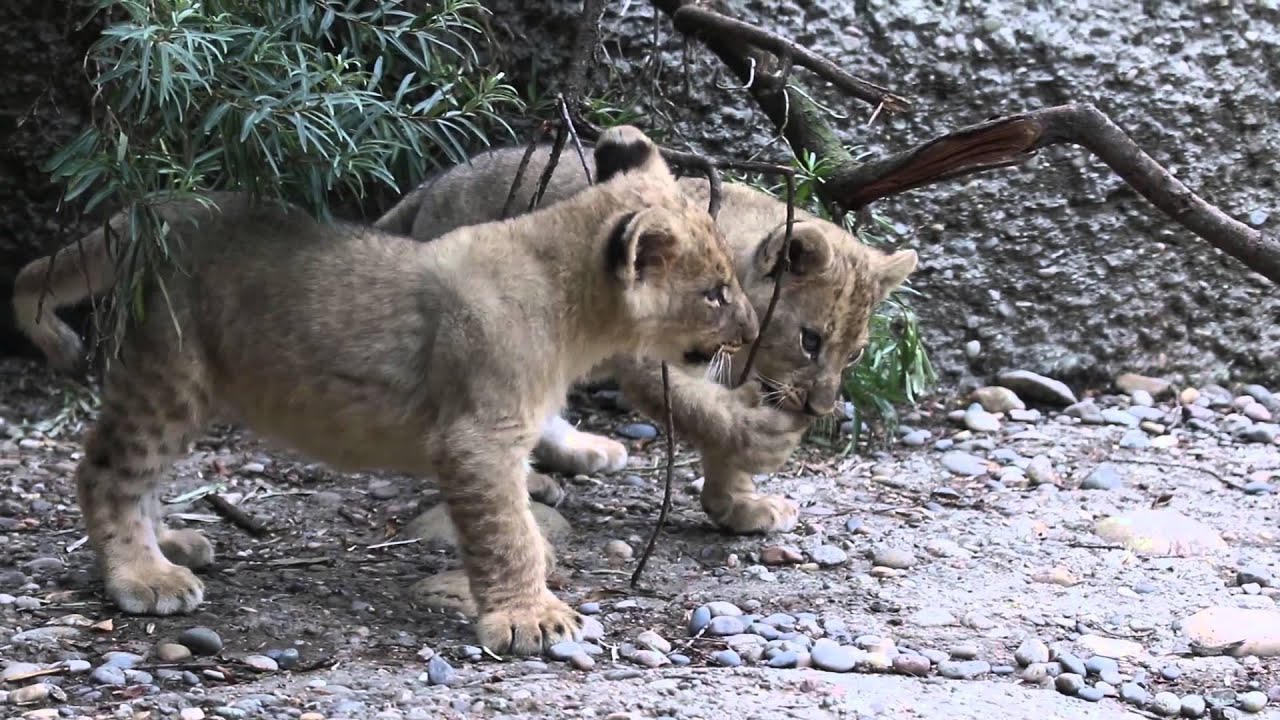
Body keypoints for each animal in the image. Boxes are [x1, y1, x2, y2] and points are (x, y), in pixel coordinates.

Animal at [11, 126, 759, 655]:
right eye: (716, 292)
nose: (751, 331)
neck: (569, 305)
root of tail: (158, 205)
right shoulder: (476, 437)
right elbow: (507, 531)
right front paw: (530, 618)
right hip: (171, 372)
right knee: (107, 472)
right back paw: (144, 576)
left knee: (142, 472)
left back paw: (172, 544)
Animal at [377, 141, 918, 535]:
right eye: (810, 341)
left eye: (856, 355)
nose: (819, 409)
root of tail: (433, 185)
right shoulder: (651, 358)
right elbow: (706, 413)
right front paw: (759, 445)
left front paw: (738, 506)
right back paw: (529, 479)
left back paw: (584, 450)